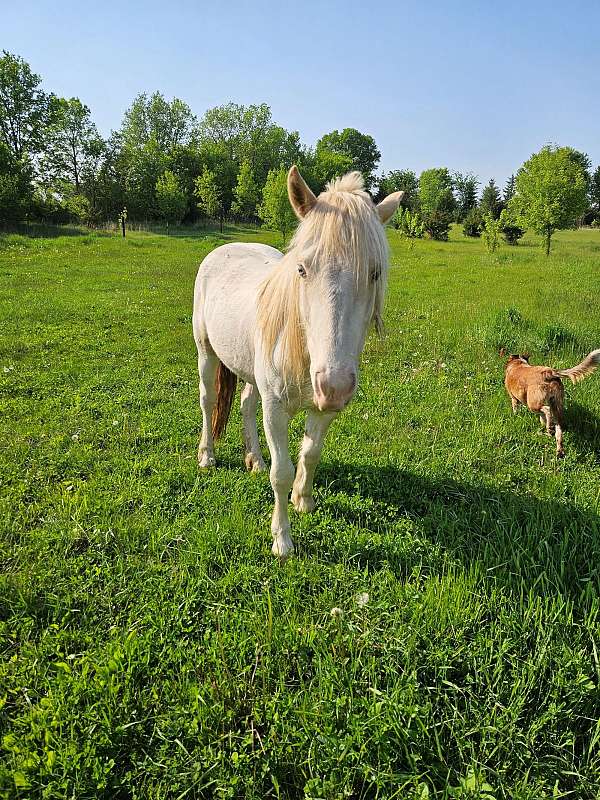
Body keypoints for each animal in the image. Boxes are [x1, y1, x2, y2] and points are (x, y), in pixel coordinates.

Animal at [193, 168, 404, 556]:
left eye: (374, 273)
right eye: (303, 269)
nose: (335, 385)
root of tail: (226, 246)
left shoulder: (323, 409)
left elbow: (310, 453)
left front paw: (302, 499)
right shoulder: (276, 410)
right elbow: (282, 472)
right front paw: (282, 539)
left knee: (246, 405)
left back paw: (254, 459)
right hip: (206, 352)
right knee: (208, 400)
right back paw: (207, 456)